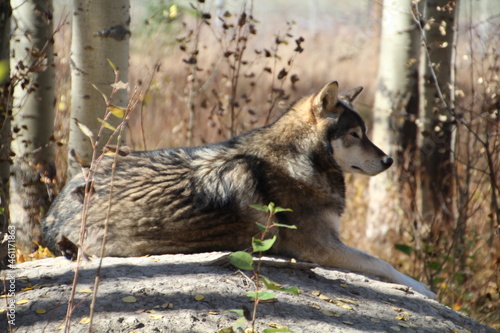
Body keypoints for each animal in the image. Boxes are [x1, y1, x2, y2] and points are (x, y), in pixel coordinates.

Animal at [43, 81, 436, 298]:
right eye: (355, 135)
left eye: (365, 133)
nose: (389, 160)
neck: (298, 159)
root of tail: (52, 215)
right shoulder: (321, 248)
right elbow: (382, 263)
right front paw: (422, 288)